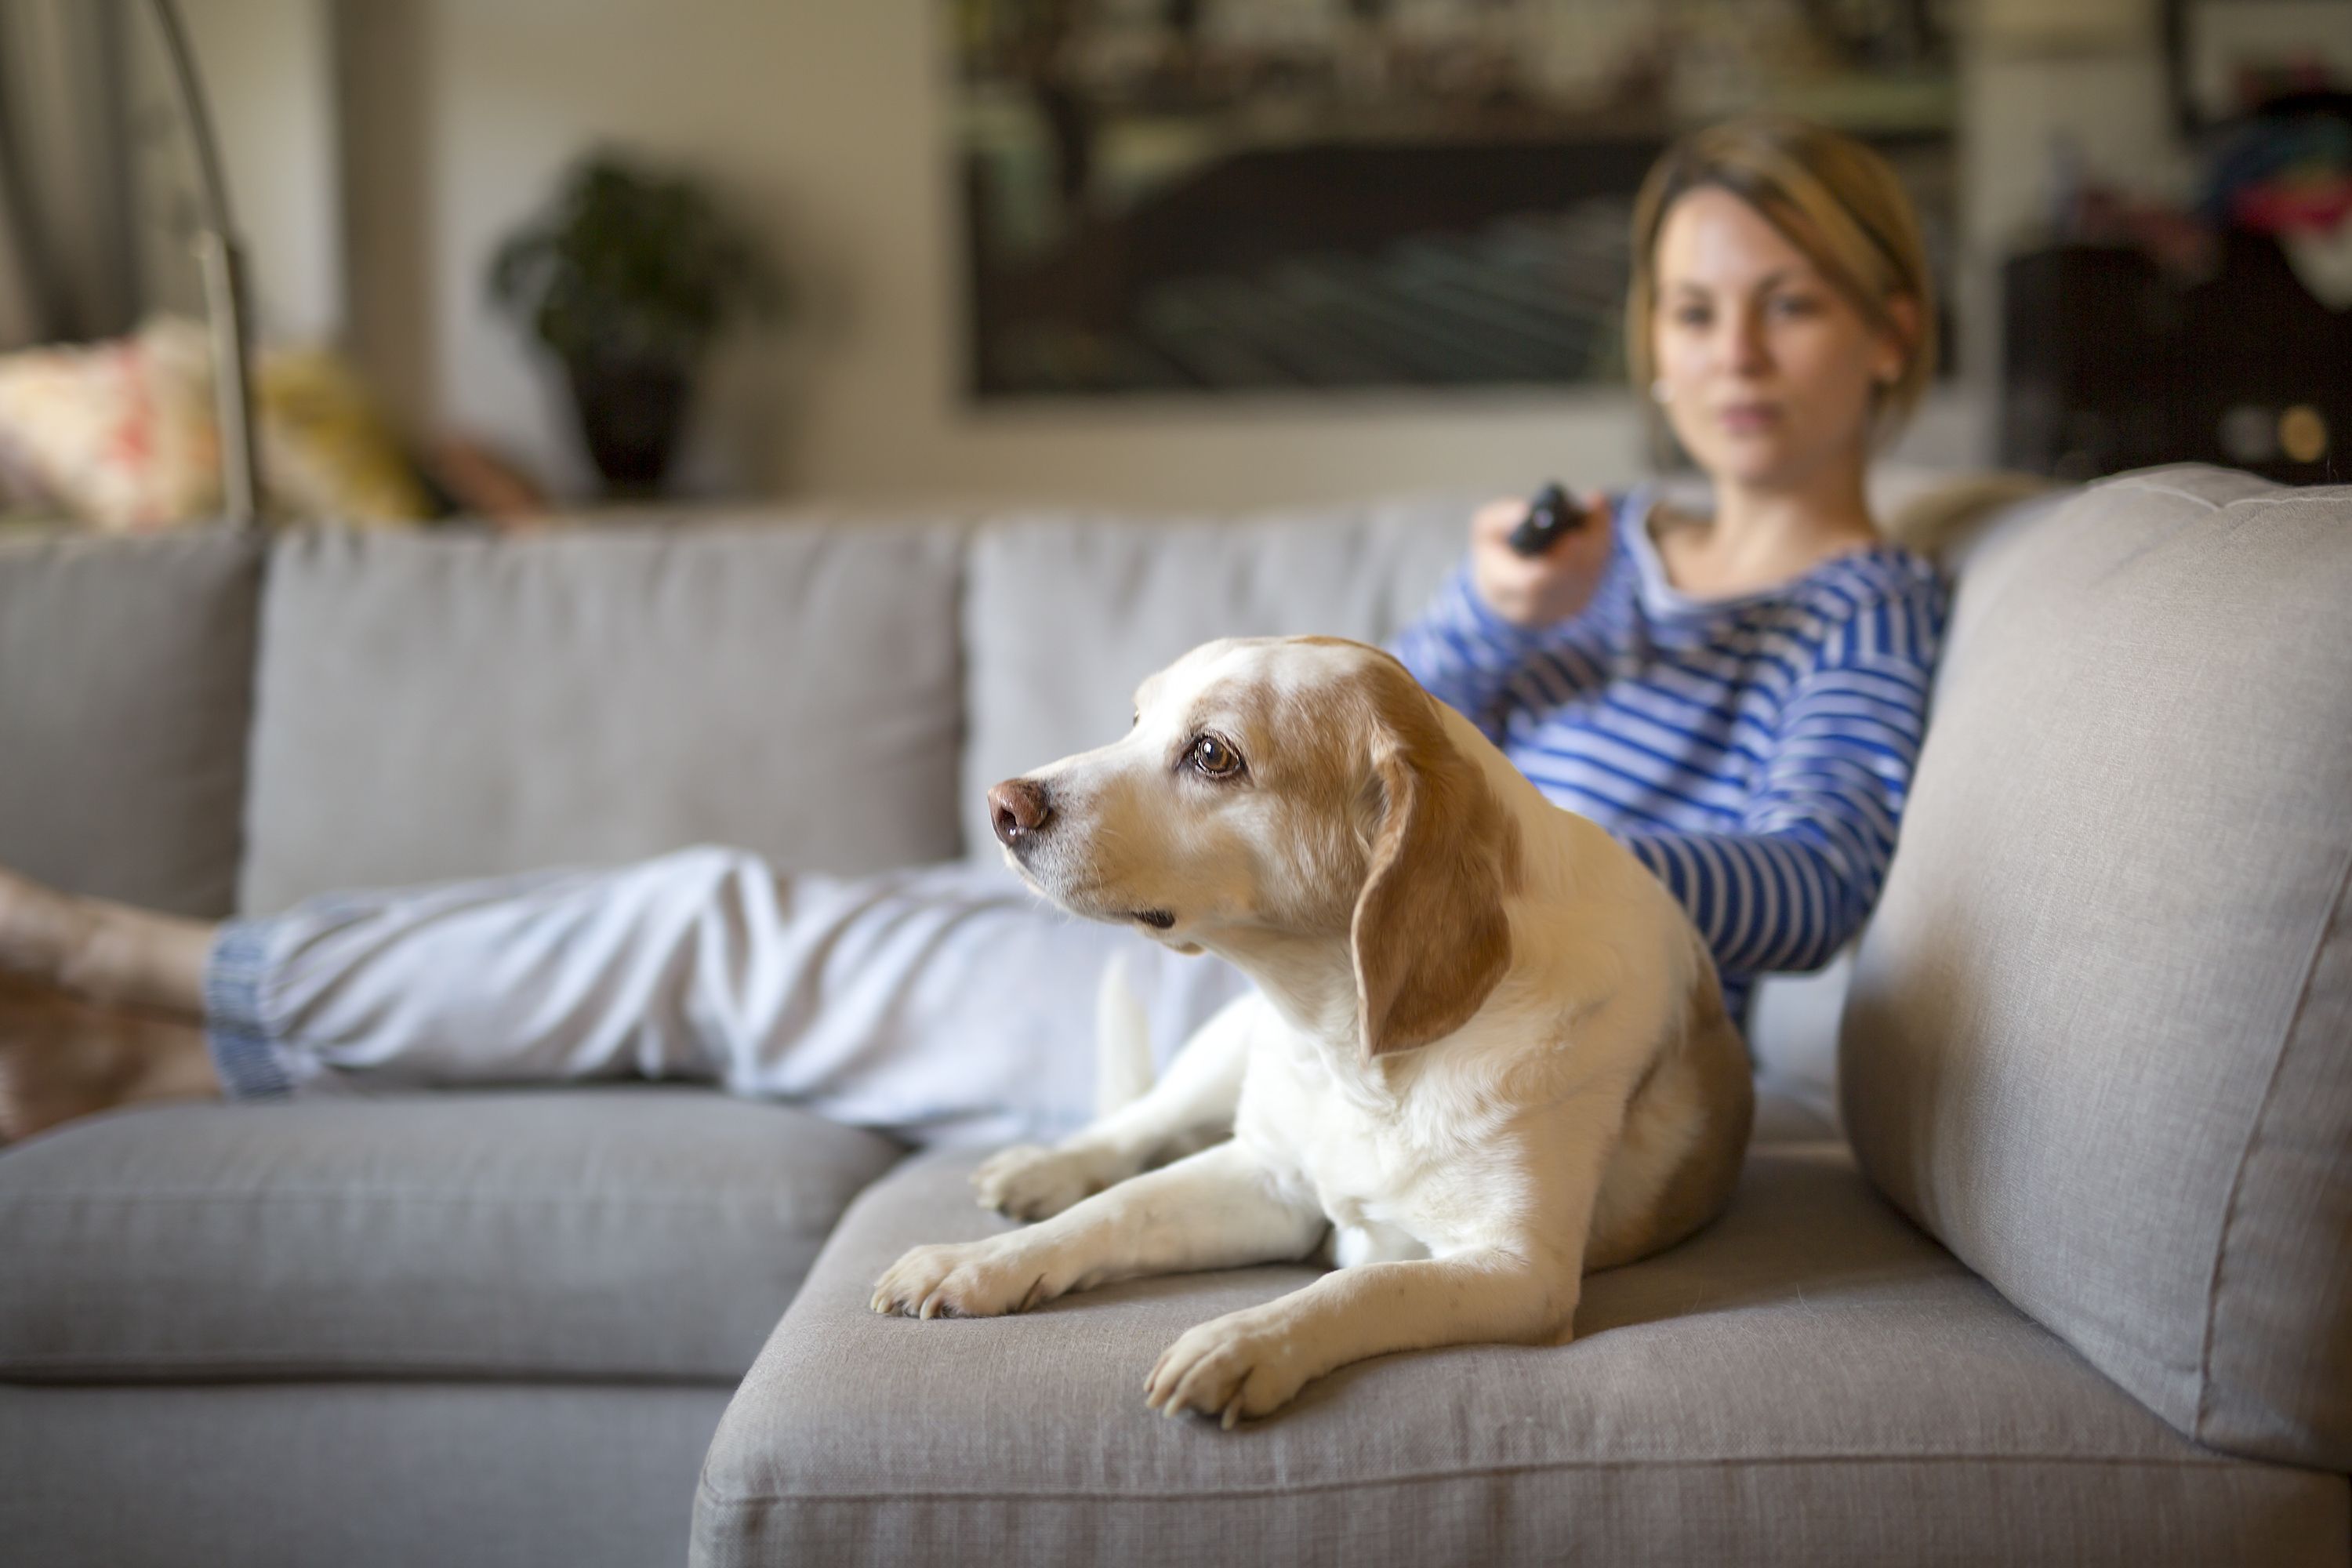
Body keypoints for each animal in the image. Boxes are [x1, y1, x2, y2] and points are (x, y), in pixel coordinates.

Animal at [875, 634, 1759, 1420]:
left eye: (1212, 753)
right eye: (1135, 718)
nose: (1002, 804)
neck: (1354, 1055)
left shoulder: (1522, 1272)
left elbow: (1363, 1282)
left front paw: (1244, 1339)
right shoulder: (1266, 1177)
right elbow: (1117, 1209)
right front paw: (980, 1263)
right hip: (1221, 1054)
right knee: (1136, 1128)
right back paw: (1046, 1168)